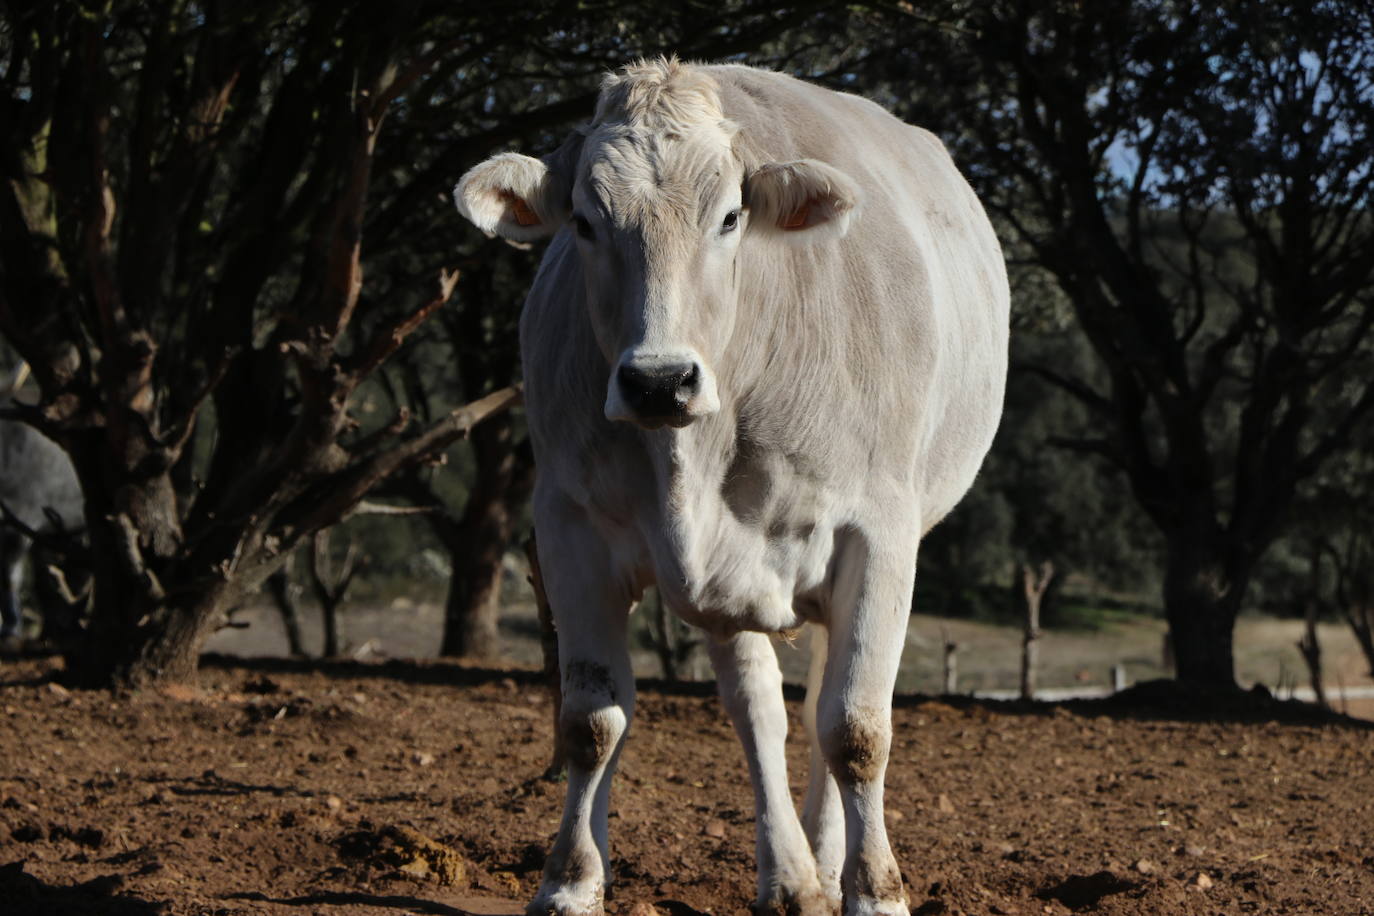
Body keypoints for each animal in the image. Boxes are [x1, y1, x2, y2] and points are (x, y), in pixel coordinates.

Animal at [456, 59, 1005, 916]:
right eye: (583, 221)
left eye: (729, 217)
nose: (657, 381)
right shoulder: (568, 527)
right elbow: (590, 721)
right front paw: (570, 881)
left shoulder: (879, 536)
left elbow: (855, 728)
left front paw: (876, 890)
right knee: (761, 712)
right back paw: (792, 875)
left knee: (820, 710)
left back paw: (826, 862)